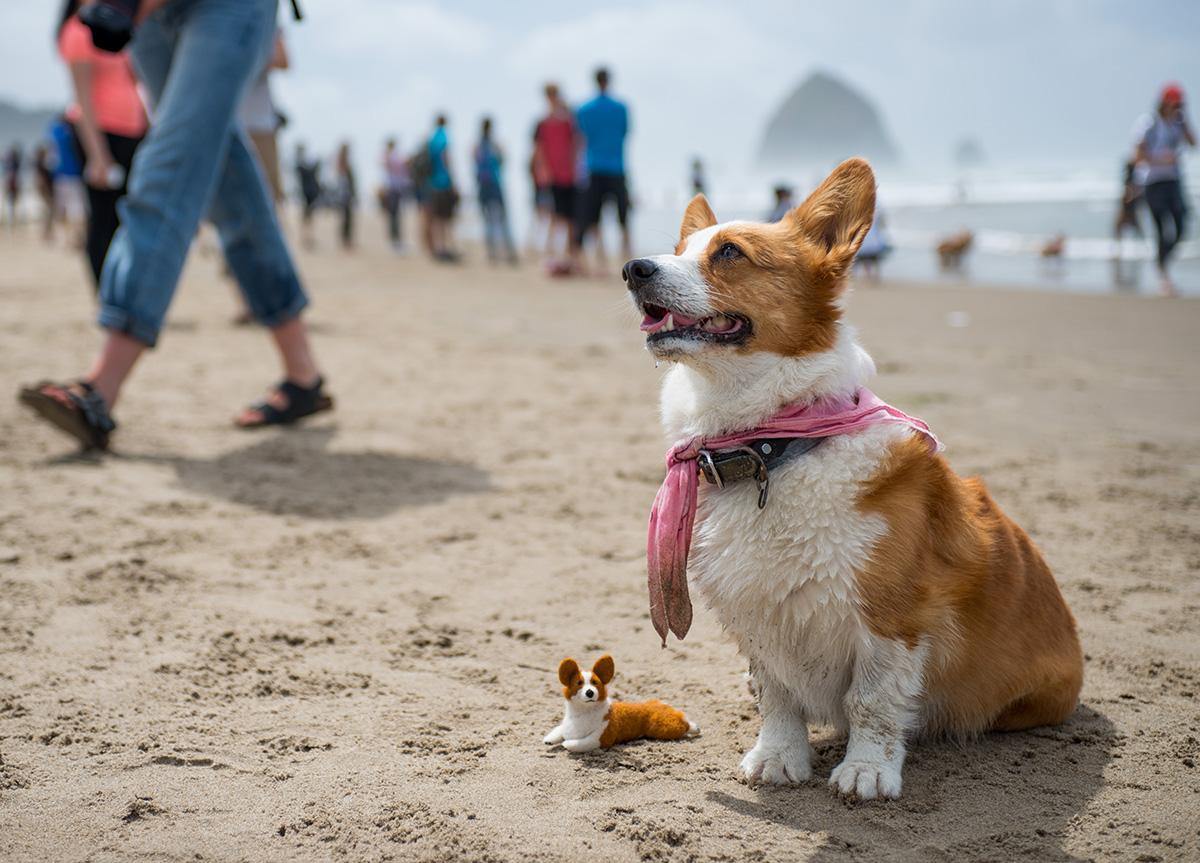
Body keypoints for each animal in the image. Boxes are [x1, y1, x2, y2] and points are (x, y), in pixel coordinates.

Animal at [542, 657, 700, 753]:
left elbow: (577, 744)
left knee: (684, 726)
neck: (583, 712)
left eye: (595, 683)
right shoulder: (566, 726)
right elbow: (559, 729)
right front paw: (549, 740)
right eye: (579, 683)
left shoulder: (601, 737)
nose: (589, 692)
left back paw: (694, 727)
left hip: (663, 728)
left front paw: (566, 744)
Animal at [624, 158, 1084, 801]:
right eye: (676, 251)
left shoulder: (892, 619)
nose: (632, 269)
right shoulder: (759, 618)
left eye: (730, 253)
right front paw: (779, 757)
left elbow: (873, 701)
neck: (771, 447)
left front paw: (866, 771)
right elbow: (776, 695)